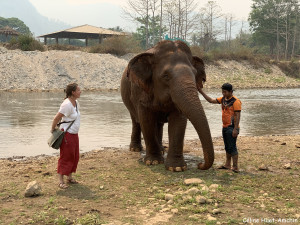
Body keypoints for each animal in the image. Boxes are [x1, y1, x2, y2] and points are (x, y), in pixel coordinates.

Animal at [120, 40, 214, 171]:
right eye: (166, 76)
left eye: (195, 74)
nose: (200, 165)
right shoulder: (140, 92)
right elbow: (146, 120)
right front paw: (153, 162)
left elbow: (178, 121)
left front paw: (177, 168)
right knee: (136, 120)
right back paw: (135, 149)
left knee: (158, 124)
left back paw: (162, 149)